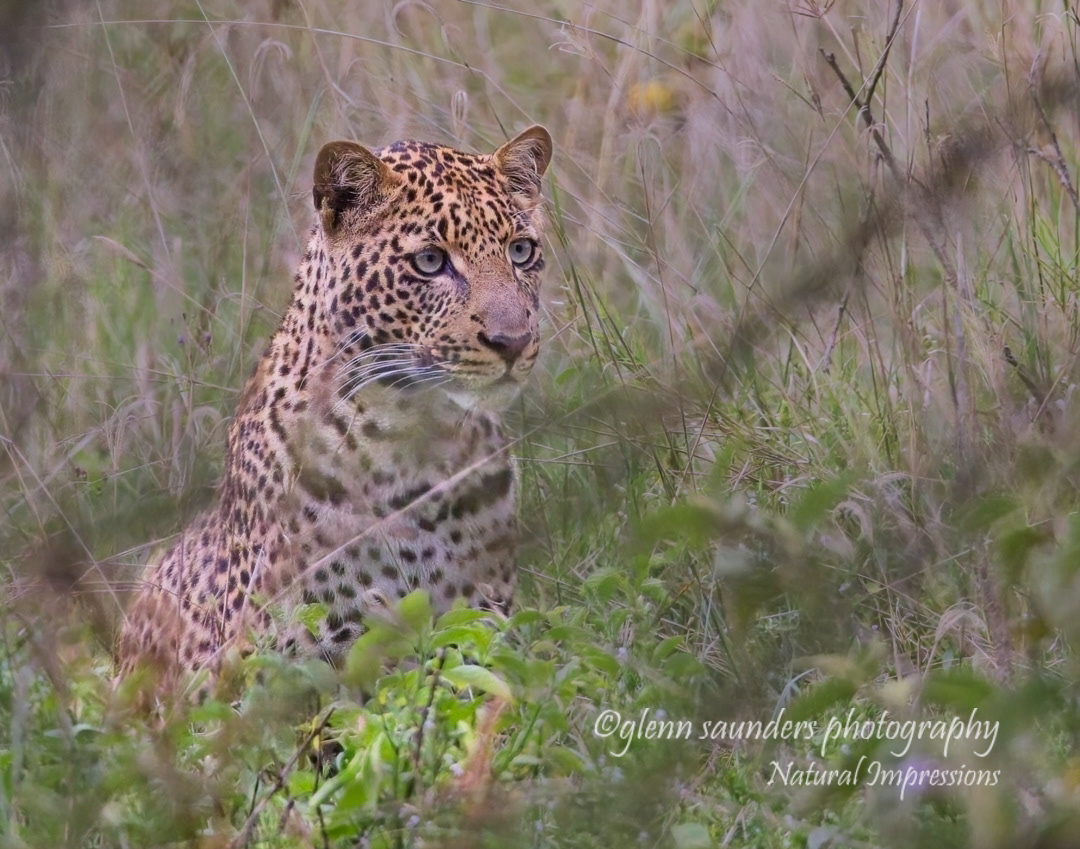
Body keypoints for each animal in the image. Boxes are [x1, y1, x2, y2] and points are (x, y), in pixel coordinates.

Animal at [117, 125, 553, 691]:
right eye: (430, 262)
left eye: (521, 251)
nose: (513, 342)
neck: (417, 446)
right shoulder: (286, 663)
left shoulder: (482, 620)